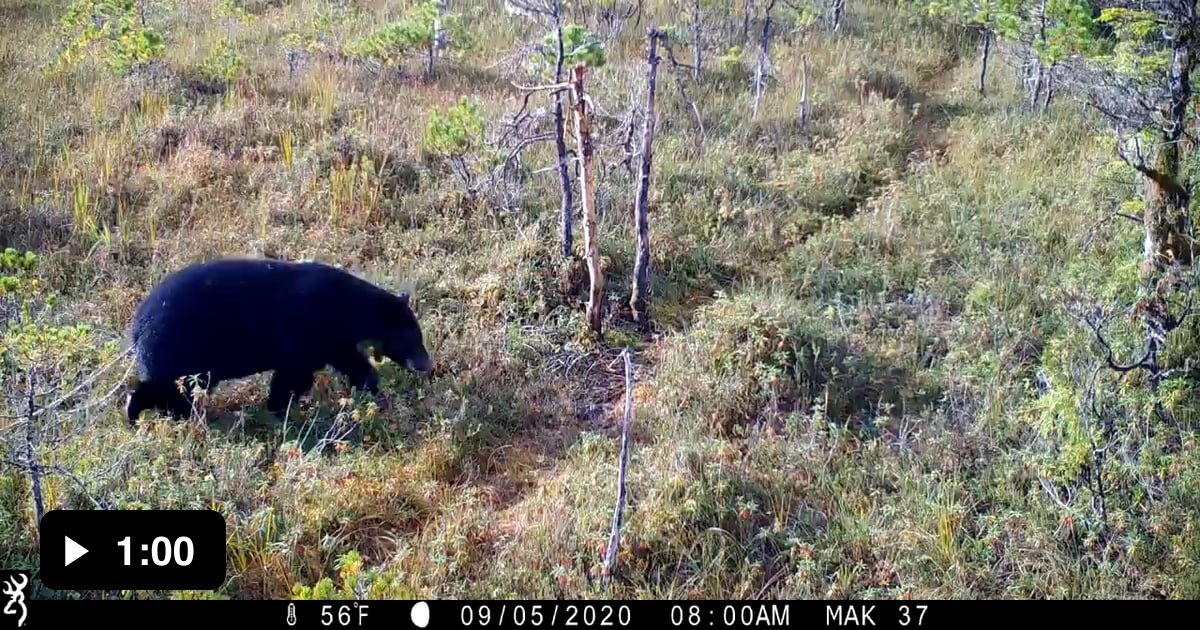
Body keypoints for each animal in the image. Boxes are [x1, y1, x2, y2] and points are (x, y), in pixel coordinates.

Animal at [124, 257, 432, 425]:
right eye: (412, 338)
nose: (427, 364)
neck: (346, 307)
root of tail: (136, 326)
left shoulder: (331, 340)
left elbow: (351, 364)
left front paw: (374, 392)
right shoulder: (307, 331)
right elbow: (291, 375)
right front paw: (278, 410)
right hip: (182, 349)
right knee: (174, 389)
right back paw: (141, 412)